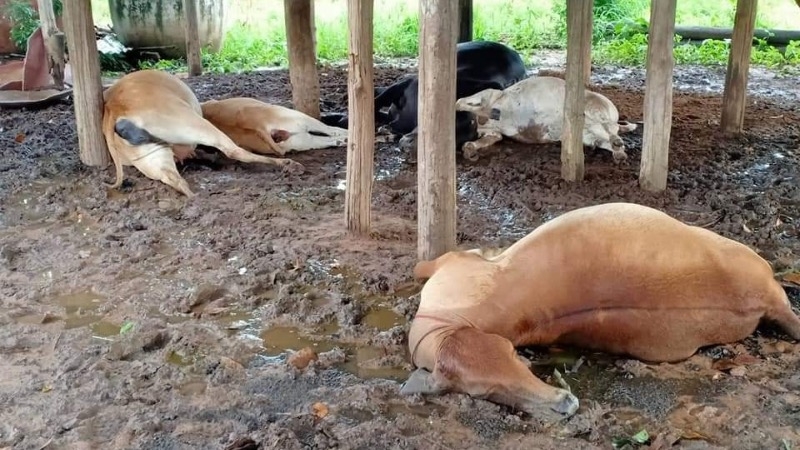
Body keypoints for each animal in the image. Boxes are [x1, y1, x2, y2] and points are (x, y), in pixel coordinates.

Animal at [101, 70, 304, 197]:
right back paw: (287, 163)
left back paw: (195, 196)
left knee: (173, 178)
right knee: (234, 151)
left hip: (151, 156)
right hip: (190, 123)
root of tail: (113, 108)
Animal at [401, 202, 800, 420]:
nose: (564, 405)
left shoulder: (455, 260)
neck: (446, 323)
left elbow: (420, 265)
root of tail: (768, 298)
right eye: (487, 392)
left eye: (515, 356)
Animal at [455, 76, 638, 162]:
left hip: (594, 110)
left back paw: (617, 144)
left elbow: (460, 102)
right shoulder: (493, 133)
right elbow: (476, 141)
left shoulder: (490, 94)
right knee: (606, 140)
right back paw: (619, 153)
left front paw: (490, 112)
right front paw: (470, 151)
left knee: (610, 128)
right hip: (588, 134)